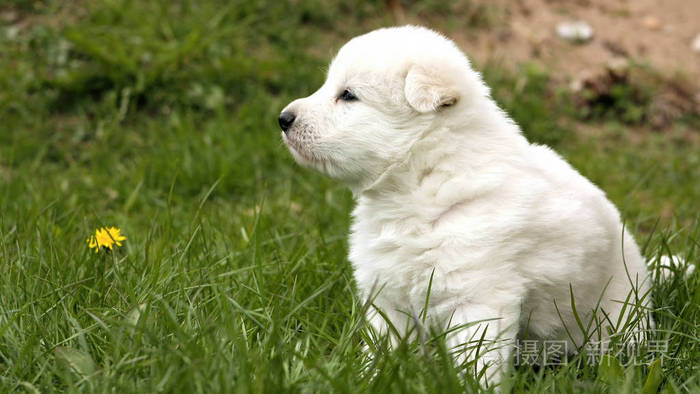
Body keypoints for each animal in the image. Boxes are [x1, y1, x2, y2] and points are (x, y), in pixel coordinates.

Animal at [278, 26, 652, 386]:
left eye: (348, 95)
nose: (283, 118)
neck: (422, 182)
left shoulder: (478, 297)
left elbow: (477, 360)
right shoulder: (387, 295)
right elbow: (381, 346)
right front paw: (368, 378)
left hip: (616, 317)